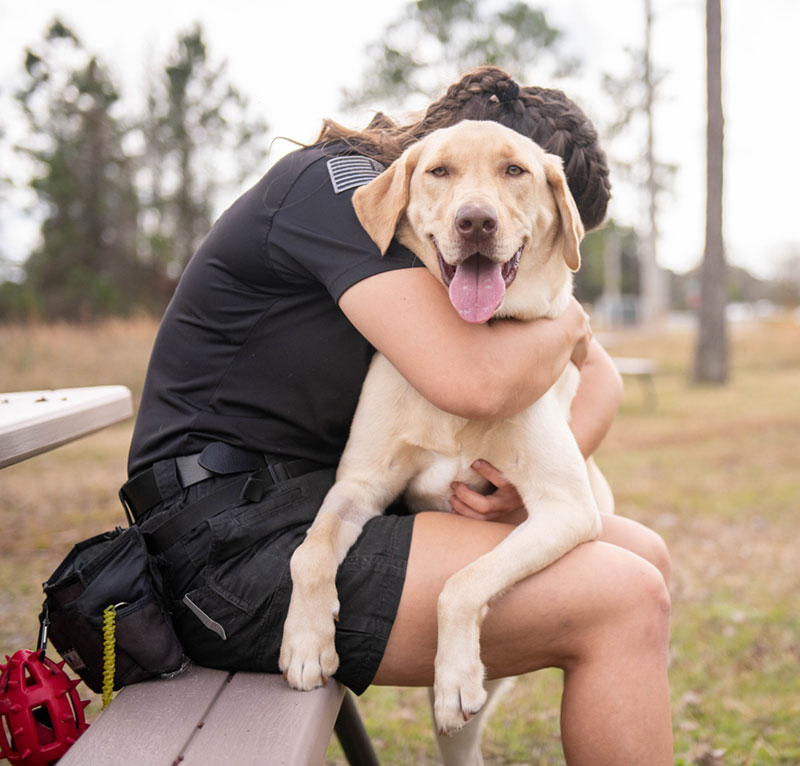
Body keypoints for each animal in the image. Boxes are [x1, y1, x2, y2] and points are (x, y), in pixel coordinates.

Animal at [282, 121, 612, 752]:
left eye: (515, 170)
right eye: (439, 172)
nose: (475, 222)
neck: (473, 342)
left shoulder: (567, 507)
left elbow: (462, 580)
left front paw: (455, 674)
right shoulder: (358, 487)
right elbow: (308, 552)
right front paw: (306, 641)